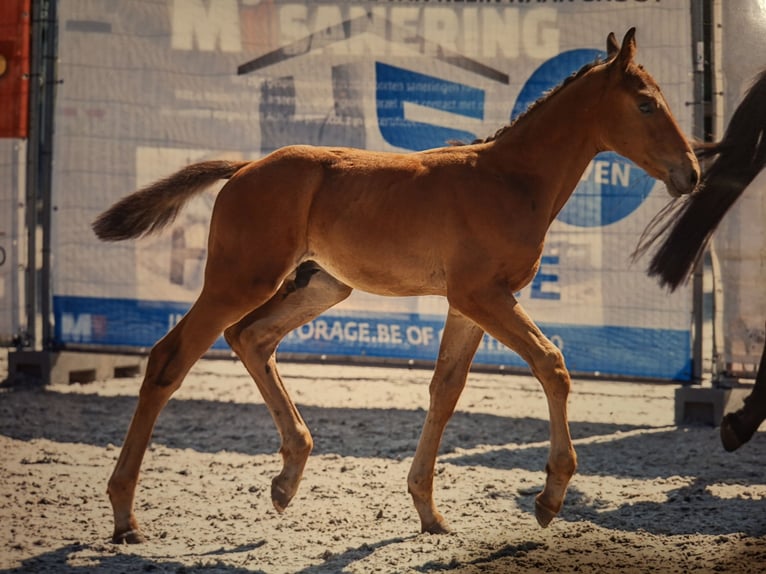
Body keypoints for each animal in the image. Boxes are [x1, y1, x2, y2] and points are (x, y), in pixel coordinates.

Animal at [93, 29, 699, 544]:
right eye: (646, 104)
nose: (691, 172)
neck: (509, 179)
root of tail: (244, 168)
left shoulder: (468, 305)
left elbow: (445, 390)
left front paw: (429, 511)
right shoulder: (483, 296)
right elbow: (551, 364)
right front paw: (549, 498)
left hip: (322, 286)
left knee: (251, 338)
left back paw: (287, 478)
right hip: (240, 279)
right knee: (170, 358)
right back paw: (125, 516)